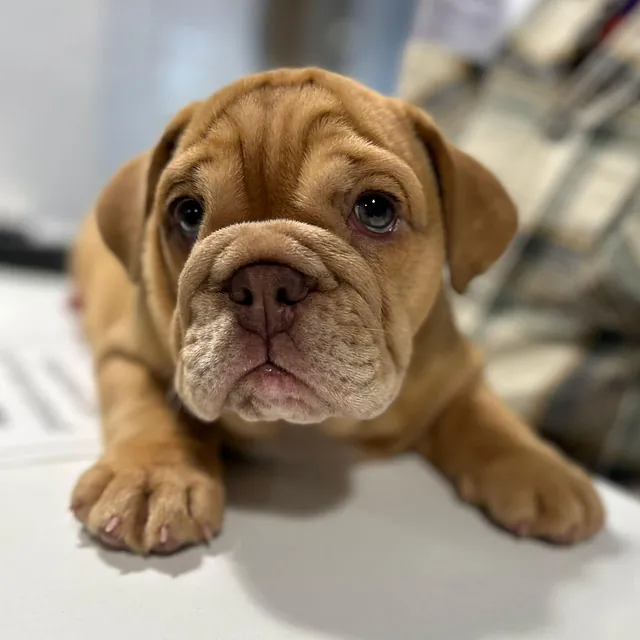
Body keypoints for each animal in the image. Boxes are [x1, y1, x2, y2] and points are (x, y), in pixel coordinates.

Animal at [71, 66, 604, 556]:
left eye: (376, 209)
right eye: (187, 213)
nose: (263, 283)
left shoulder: (455, 369)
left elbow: (486, 413)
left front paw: (542, 468)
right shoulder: (130, 353)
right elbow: (149, 407)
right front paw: (151, 477)